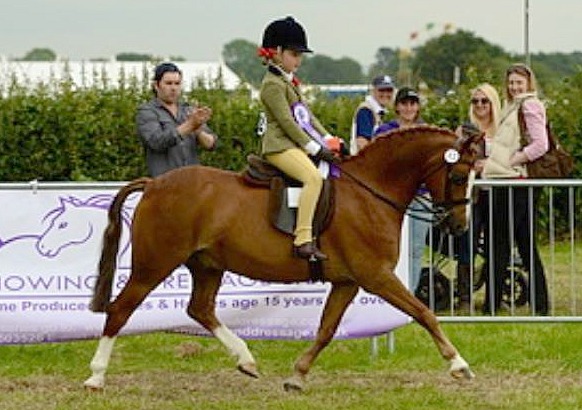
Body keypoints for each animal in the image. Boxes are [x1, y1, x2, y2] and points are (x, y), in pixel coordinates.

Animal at [85, 125, 480, 390]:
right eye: (459, 175)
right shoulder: (376, 275)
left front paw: (297, 376)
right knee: (120, 310)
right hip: (153, 265)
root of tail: (154, 184)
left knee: (200, 309)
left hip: (207, 265)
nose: (459, 226)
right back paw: (96, 377)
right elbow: (424, 313)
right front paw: (459, 365)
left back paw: (246, 360)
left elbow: (326, 329)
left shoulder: (348, 282)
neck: (370, 193)